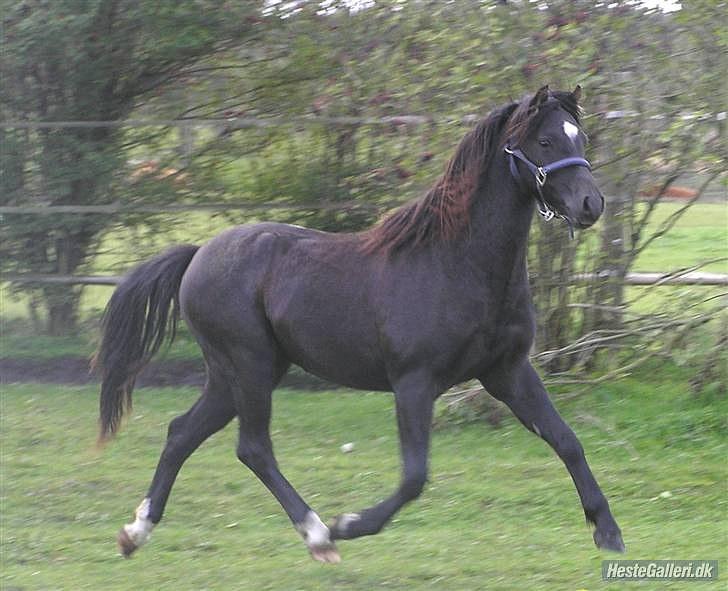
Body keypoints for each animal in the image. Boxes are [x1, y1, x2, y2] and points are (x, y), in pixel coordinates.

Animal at [95, 85, 624, 563]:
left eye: (580, 137)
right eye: (545, 141)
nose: (591, 204)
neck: (458, 264)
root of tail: (198, 254)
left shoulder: (507, 372)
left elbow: (567, 441)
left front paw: (609, 533)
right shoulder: (414, 382)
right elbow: (414, 476)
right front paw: (349, 524)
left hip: (236, 374)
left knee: (182, 433)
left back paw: (134, 534)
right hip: (250, 366)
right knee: (252, 447)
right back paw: (318, 535)